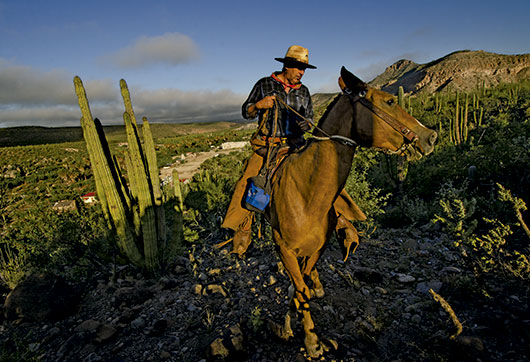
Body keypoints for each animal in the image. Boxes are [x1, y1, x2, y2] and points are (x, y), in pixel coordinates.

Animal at [264, 66, 438, 358]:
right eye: (389, 101)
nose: (430, 136)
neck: (307, 193)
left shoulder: (319, 247)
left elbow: (301, 285)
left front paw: (298, 321)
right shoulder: (284, 248)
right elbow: (299, 287)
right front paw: (309, 340)